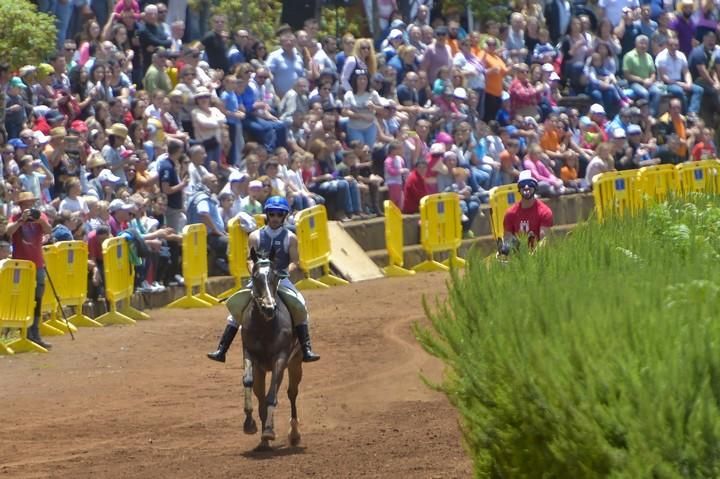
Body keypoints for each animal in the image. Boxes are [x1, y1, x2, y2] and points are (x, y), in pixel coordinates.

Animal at [242, 248, 304, 450]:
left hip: (295, 363)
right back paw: (263, 439)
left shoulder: (281, 358)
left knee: (291, 393)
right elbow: (248, 382)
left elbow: (272, 396)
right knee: (261, 397)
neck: (265, 326)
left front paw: (269, 431)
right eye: (255, 277)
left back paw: (294, 434)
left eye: (275, 276)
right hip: (263, 370)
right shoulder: (250, 355)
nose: (269, 308)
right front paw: (250, 425)